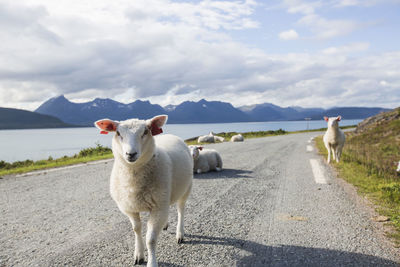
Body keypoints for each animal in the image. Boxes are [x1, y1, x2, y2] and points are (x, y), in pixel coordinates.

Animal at [94, 115, 193, 267]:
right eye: (118, 133)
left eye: (145, 132)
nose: (131, 154)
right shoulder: (130, 208)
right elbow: (136, 229)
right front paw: (138, 255)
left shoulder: (158, 208)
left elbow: (151, 239)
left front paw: (152, 262)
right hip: (166, 194)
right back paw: (165, 225)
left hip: (186, 188)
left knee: (181, 209)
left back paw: (180, 234)